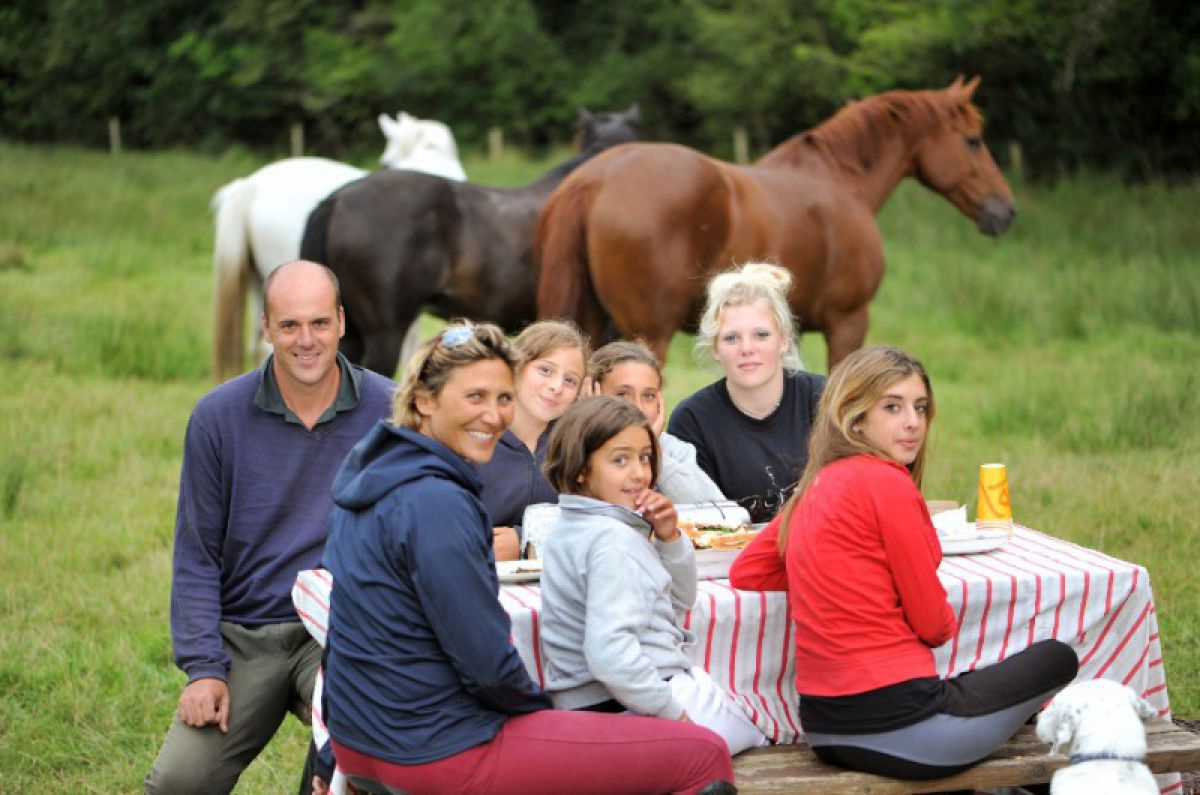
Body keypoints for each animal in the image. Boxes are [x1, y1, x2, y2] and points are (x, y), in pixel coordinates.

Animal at [535, 78, 1012, 367]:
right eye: (973, 141)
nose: (1005, 210)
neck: (841, 181)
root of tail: (596, 177)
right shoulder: (848, 322)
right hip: (646, 335)